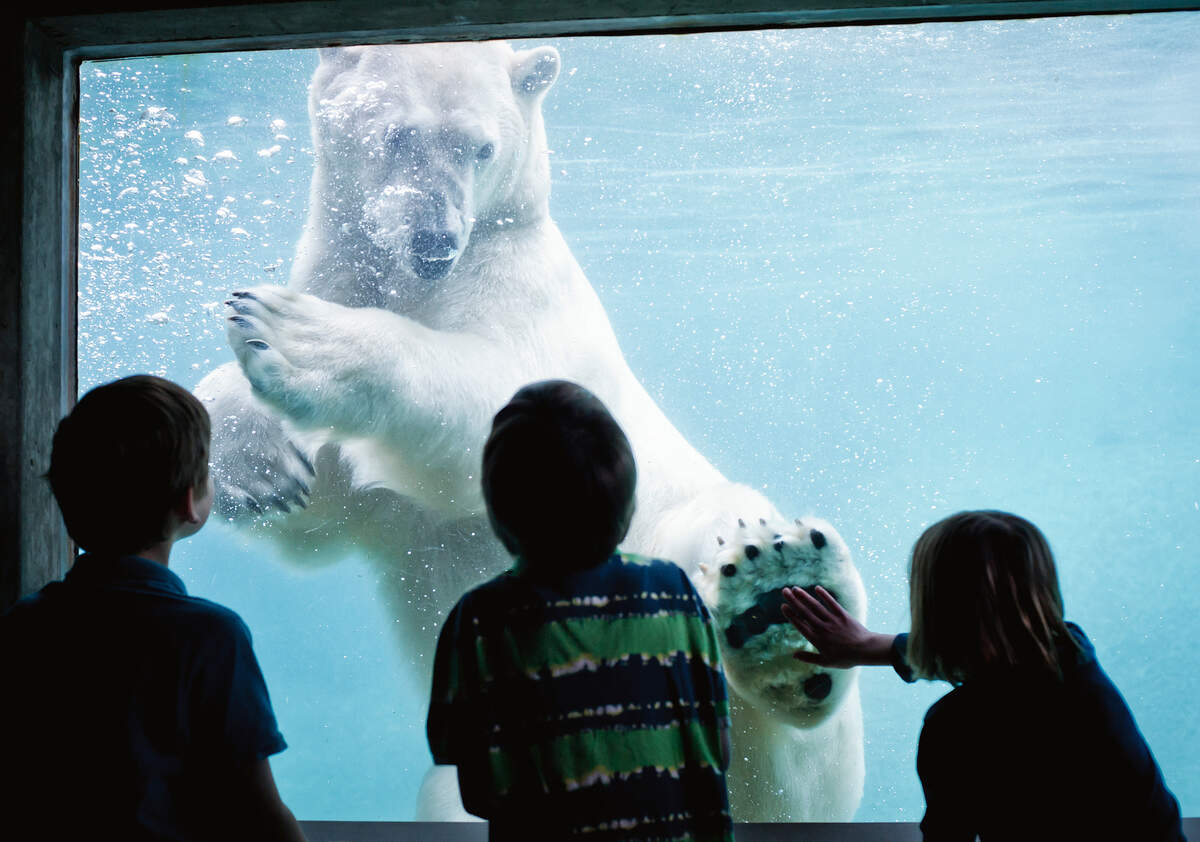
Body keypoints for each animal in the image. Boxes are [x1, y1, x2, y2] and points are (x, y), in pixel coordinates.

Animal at [194, 41, 867, 822]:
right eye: (398, 136)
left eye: (482, 148)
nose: (434, 242)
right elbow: (328, 511)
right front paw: (256, 457)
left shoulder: (518, 283)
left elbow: (487, 399)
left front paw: (295, 334)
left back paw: (781, 611)